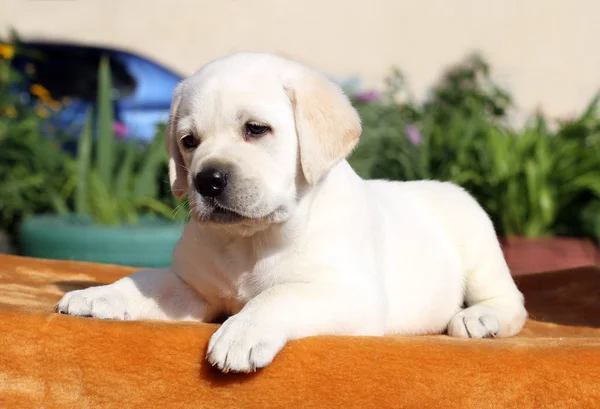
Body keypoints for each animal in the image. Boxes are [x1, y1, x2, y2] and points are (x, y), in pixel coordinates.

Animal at [55, 51, 524, 372]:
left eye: (256, 129)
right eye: (189, 141)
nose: (207, 180)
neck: (251, 240)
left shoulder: (350, 294)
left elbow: (280, 295)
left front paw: (242, 331)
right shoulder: (191, 287)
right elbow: (145, 280)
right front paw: (99, 294)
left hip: (477, 242)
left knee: (512, 301)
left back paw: (478, 318)